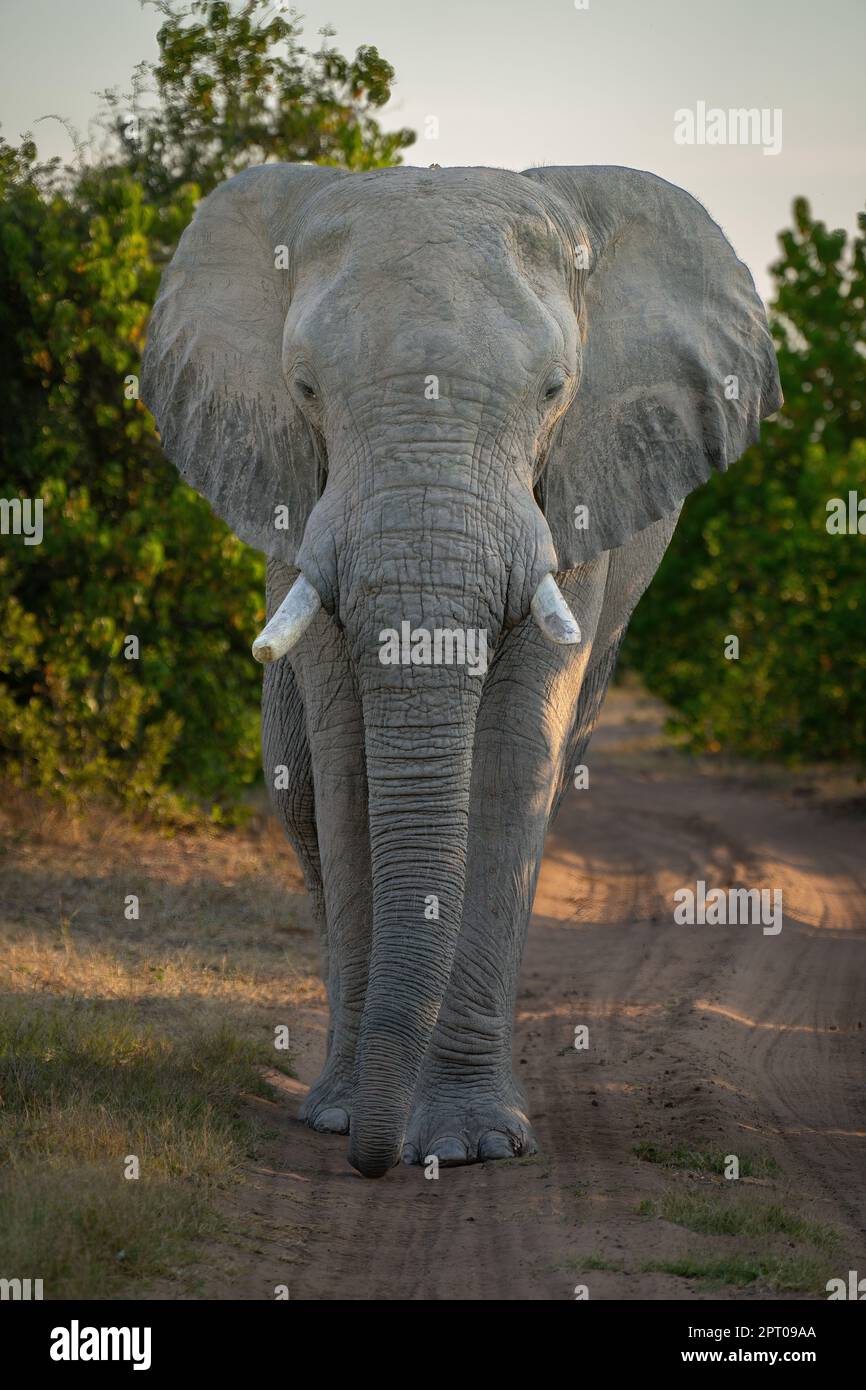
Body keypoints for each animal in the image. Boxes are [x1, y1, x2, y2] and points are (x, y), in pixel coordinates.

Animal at [141, 162, 781, 1179]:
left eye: (557, 390)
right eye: (304, 388)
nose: (373, 1163)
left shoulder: (576, 495)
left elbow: (519, 750)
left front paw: (470, 1144)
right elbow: (346, 757)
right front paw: (347, 1121)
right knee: (300, 787)